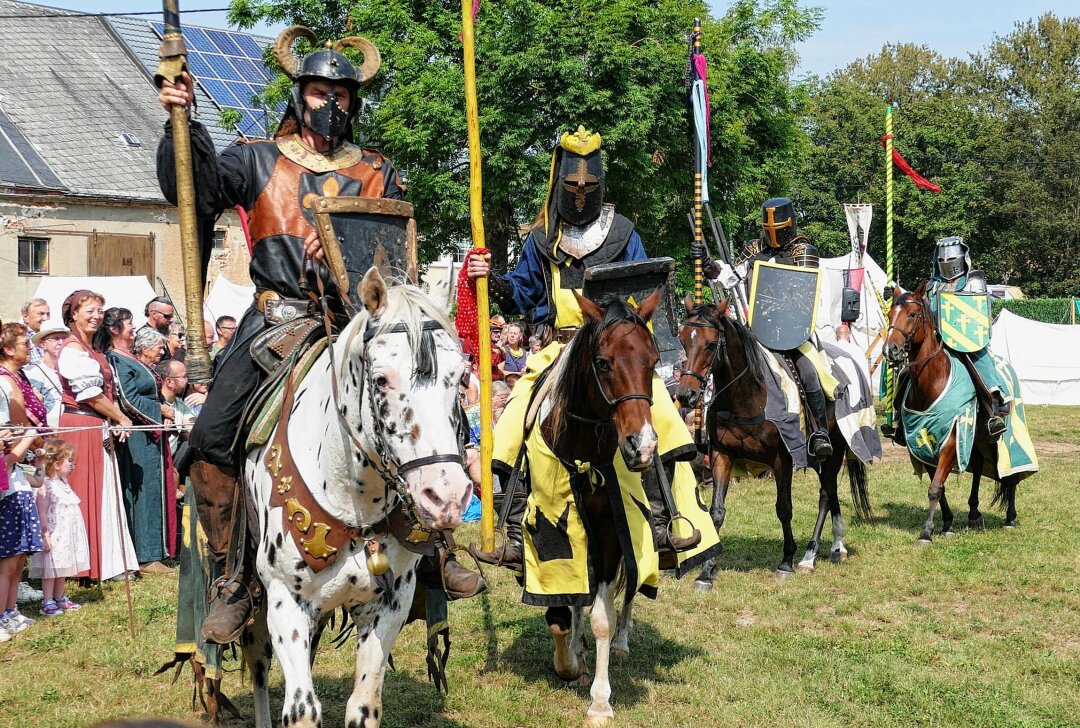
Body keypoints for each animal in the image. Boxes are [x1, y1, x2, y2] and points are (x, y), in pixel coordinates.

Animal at [240, 266, 473, 725]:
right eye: (381, 379)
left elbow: (364, 705)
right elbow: (302, 709)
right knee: (256, 662)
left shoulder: (390, 604)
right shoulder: (284, 602)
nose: (447, 498)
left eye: (460, 378)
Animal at [524, 289, 665, 725]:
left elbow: (602, 614)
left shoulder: (609, 534)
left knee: (631, 587)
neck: (583, 452)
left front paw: (600, 700)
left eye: (653, 361)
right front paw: (571, 656)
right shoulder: (563, 527)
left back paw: (620, 641)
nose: (643, 446)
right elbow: (568, 599)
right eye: (603, 363)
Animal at [669, 293, 872, 583]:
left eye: (710, 344)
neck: (747, 396)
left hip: (835, 446)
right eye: (684, 341)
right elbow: (716, 511)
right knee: (830, 491)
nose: (686, 395)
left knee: (826, 492)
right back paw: (836, 546)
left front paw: (786, 561)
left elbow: (783, 508)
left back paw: (810, 555)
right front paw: (707, 571)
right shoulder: (721, 455)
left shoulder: (782, 458)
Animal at [881, 280, 1015, 542]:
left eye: (912, 315)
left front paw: (926, 532)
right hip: (977, 437)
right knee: (978, 465)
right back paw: (973, 513)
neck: (932, 381)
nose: (891, 350)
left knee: (1011, 475)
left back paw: (1010, 518)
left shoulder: (952, 440)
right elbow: (938, 487)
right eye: (890, 314)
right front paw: (947, 524)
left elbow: (935, 488)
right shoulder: (924, 441)